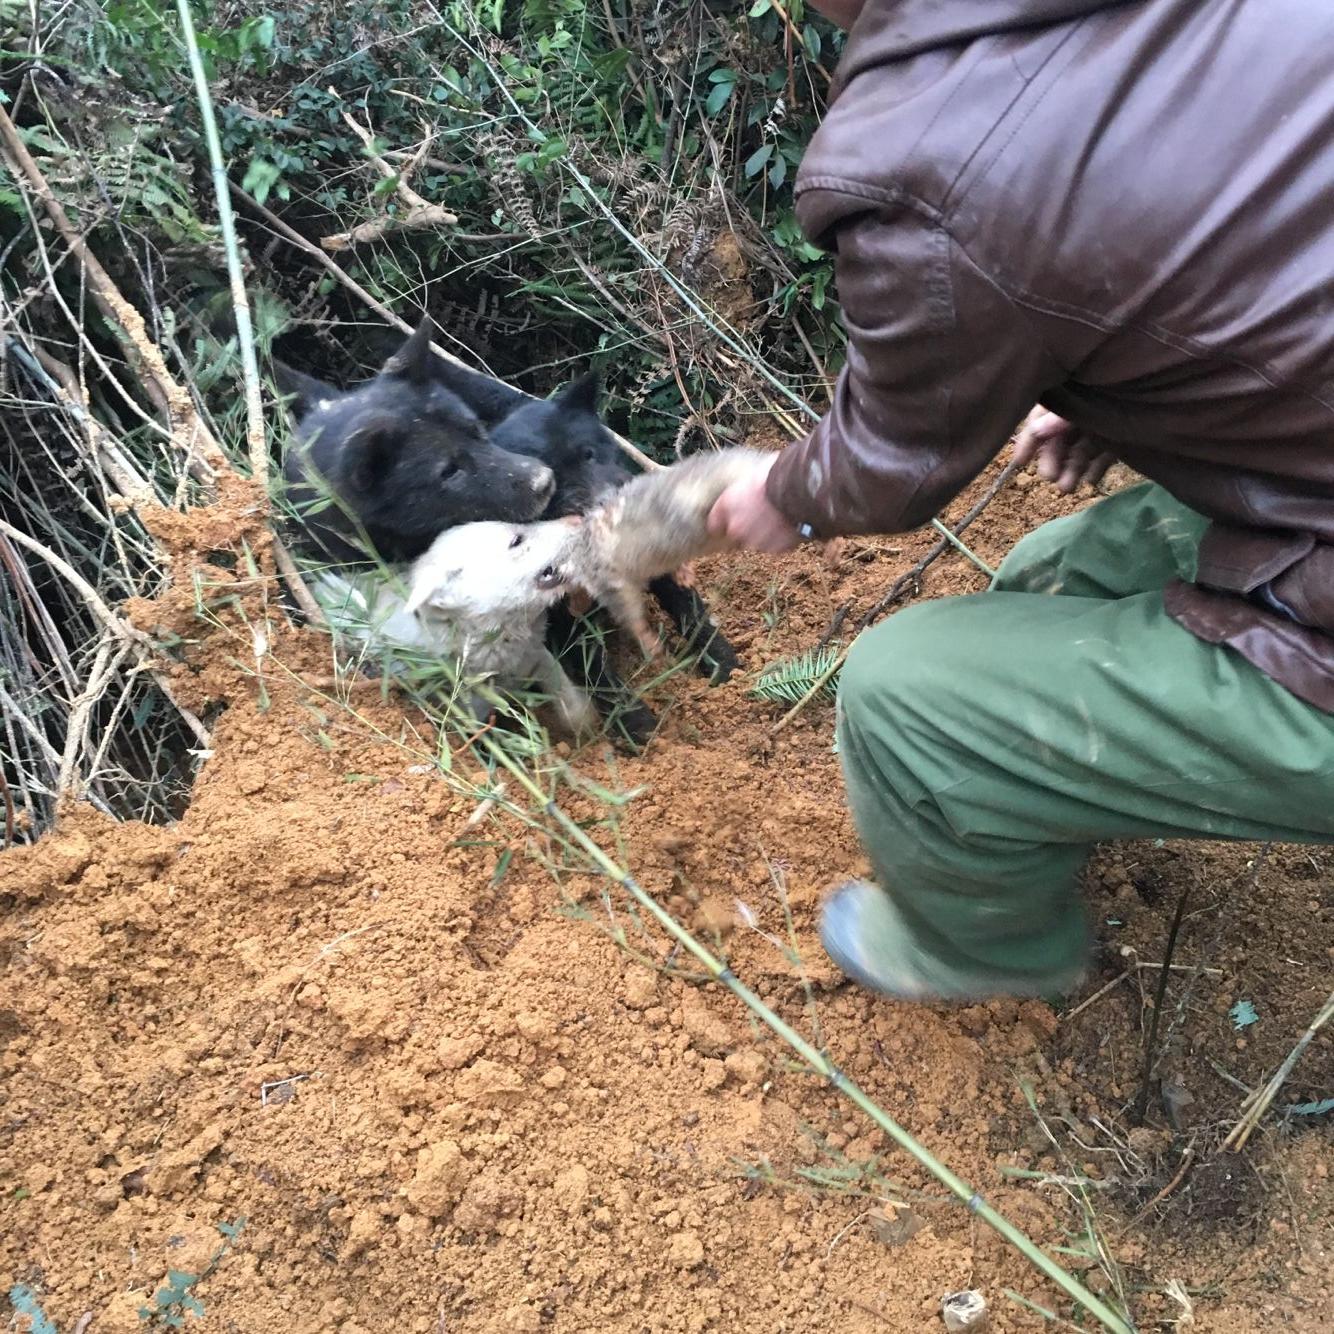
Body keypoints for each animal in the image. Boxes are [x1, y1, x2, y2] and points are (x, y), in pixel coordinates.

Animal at [306, 514, 594, 736]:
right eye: (516, 540)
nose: (577, 518)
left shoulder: (531, 655)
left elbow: (557, 676)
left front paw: (583, 719)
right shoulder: (467, 710)